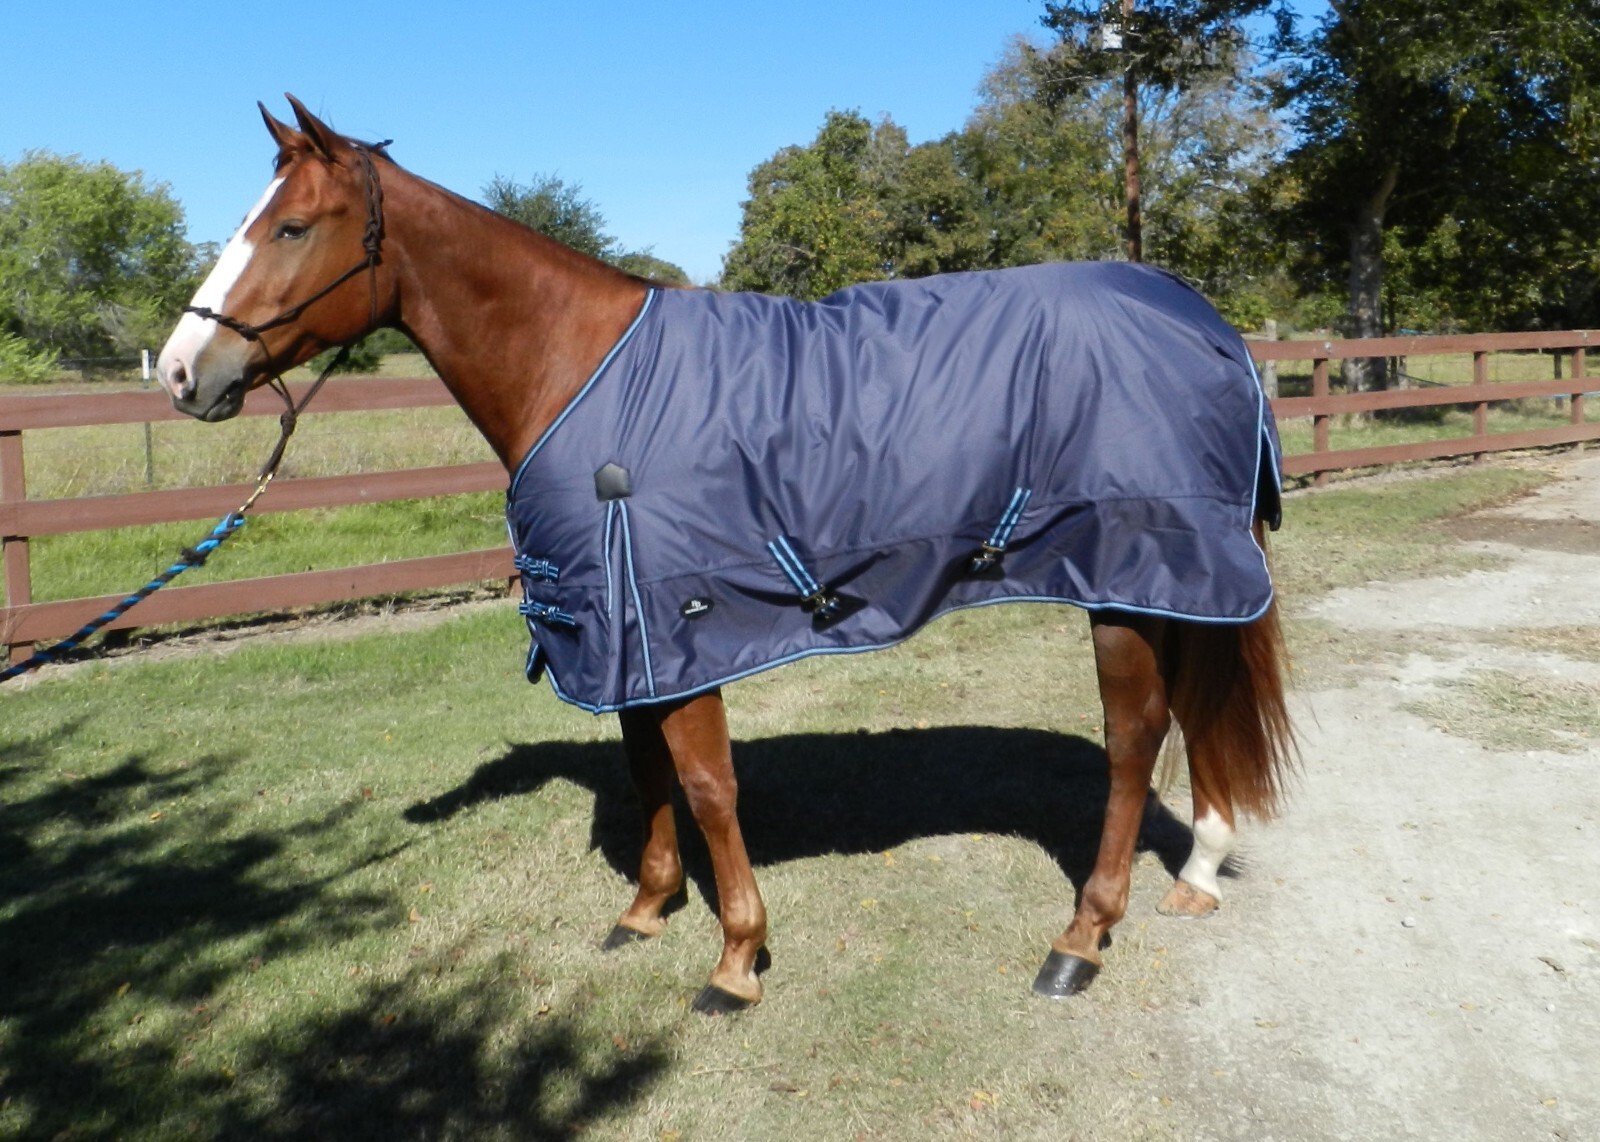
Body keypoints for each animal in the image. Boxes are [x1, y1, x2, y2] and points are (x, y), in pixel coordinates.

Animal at [156, 96, 1293, 1014]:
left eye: (291, 225)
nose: (178, 370)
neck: (577, 368)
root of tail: (1203, 319)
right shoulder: (622, 628)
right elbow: (645, 766)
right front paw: (647, 907)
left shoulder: (680, 616)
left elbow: (705, 783)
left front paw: (737, 956)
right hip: (1174, 584)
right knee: (1190, 710)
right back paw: (1197, 867)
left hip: (1129, 575)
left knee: (1134, 734)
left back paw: (1081, 937)